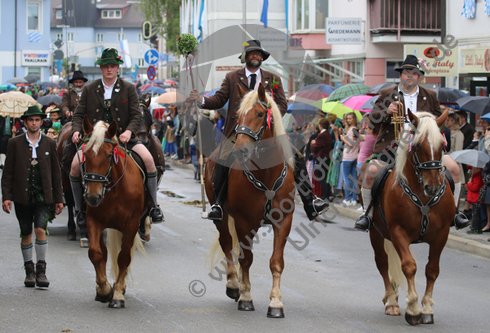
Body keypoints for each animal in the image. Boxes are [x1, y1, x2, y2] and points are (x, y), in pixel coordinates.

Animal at [81, 115, 146, 308]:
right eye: (85, 154)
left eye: (109, 155)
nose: (92, 197)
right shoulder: (94, 221)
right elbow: (95, 253)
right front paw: (104, 290)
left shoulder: (131, 225)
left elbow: (123, 257)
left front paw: (117, 294)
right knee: (102, 253)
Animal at [206, 83, 296, 316]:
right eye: (238, 116)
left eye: (260, 114)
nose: (240, 150)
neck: (267, 174)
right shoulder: (244, 220)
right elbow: (246, 259)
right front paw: (246, 297)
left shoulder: (283, 221)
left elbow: (276, 262)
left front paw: (276, 303)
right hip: (223, 218)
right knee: (227, 244)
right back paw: (233, 285)